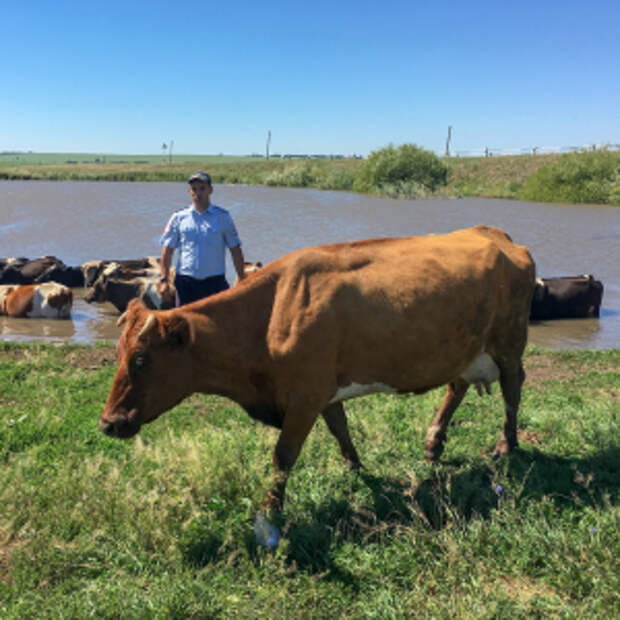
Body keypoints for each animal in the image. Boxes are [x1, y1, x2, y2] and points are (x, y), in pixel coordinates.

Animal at [99, 225, 536, 536]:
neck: (269, 315)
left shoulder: (306, 396)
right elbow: (341, 429)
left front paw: (270, 511)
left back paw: (506, 445)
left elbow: (283, 456)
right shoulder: (325, 392)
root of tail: (495, 234)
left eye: (141, 359)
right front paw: (357, 468)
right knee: (456, 387)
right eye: (118, 354)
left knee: (513, 390)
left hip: (509, 345)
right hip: (464, 349)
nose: (108, 423)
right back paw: (433, 443)